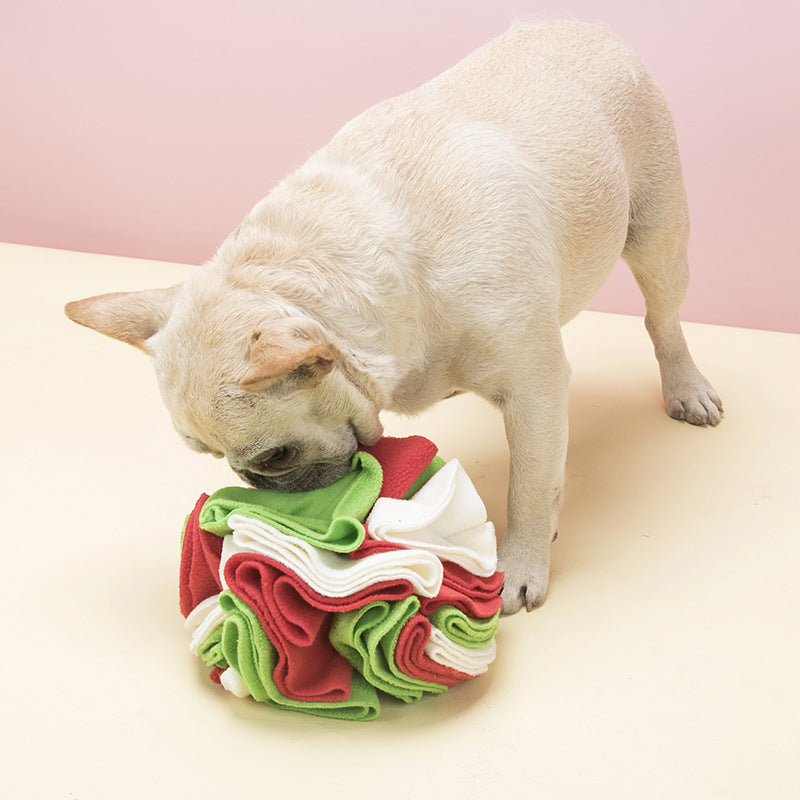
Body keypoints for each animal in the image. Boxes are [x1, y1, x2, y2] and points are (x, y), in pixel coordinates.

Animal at [65, 21, 720, 616]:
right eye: (206, 456)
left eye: (274, 458)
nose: (253, 484)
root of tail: (587, 26)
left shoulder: (535, 391)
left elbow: (532, 486)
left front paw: (519, 567)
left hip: (659, 236)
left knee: (663, 319)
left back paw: (686, 386)